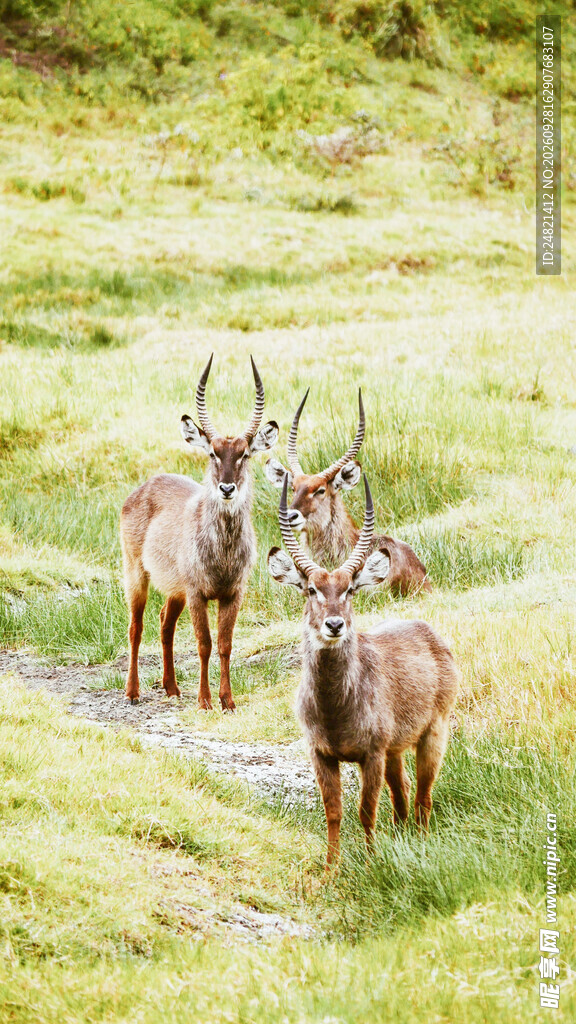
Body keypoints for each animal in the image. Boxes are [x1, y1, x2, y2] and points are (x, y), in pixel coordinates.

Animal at [120, 354, 279, 711]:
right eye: (212, 453)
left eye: (244, 454)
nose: (227, 488)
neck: (222, 553)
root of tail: (145, 485)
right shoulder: (196, 592)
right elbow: (204, 643)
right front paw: (205, 700)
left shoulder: (233, 593)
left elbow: (225, 644)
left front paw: (228, 700)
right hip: (136, 571)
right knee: (137, 626)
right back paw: (133, 691)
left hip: (174, 589)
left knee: (164, 622)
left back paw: (172, 688)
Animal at [268, 473, 459, 868]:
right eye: (311, 589)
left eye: (350, 589)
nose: (334, 625)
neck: (334, 709)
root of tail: (428, 630)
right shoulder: (322, 753)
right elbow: (334, 811)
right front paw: (331, 870)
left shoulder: (371, 753)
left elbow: (366, 810)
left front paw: (370, 865)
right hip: (396, 750)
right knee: (402, 795)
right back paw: (403, 840)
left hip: (433, 732)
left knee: (423, 795)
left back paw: (420, 843)